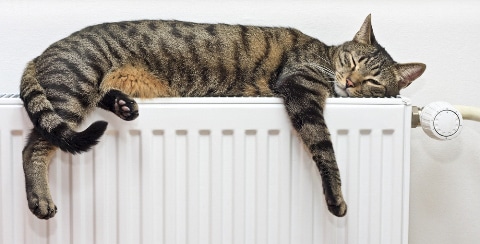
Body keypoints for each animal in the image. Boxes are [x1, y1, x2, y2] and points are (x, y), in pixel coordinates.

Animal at [18, 14, 426, 219]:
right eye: (352, 60)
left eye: (373, 80)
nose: (349, 81)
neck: (326, 57)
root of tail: (40, 54)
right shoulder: (301, 89)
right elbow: (324, 148)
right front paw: (336, 197)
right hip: (73, 90)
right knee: (33, 147)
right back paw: (40, 200)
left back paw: (122, 105)